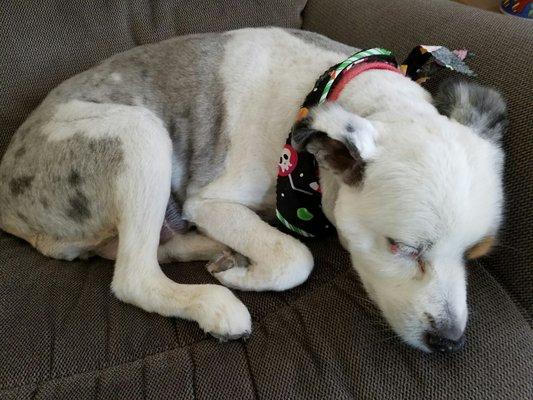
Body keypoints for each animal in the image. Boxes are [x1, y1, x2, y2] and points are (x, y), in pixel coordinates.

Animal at [1, 28, 508, 352]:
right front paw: (246, 277)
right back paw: (214, 301)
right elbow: (296, 257)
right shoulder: (210, 200)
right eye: (400, 247)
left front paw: (238, 261)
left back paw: (215, 250)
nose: (449, 343)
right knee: (133, 276)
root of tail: (7, 204)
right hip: (138, 134)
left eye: (476, 253)